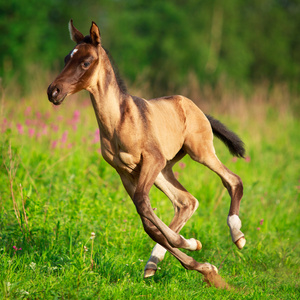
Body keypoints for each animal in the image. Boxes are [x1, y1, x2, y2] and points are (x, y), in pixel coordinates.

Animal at [47, 21, 246, 286]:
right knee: (186, 201)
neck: (118, 121)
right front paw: (202, 263)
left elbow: (144, 206)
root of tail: (198, 109)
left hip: (198, 153)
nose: (53, 91)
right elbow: (148, 223)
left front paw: (191, 246)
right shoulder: (125, 172)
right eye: (66, 58)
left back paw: (238, 235)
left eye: (86, 62)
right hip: (164, 169)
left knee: (232, 180)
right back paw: (154, 262)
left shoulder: (152, 159)